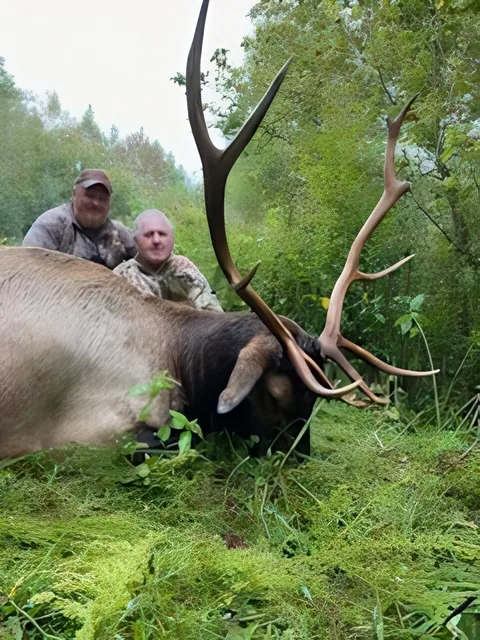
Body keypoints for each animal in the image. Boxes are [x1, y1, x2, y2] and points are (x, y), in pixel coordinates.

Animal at [0, 0, 437, 460]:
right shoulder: (96, 429)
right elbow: (172, 440)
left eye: (314, 401)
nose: (300, 456)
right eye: (277, 394)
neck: (179, 353)